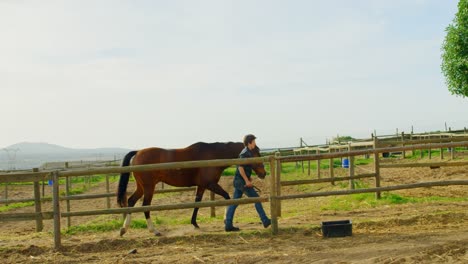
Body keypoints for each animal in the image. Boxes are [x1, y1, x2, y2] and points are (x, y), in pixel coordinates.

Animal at [115, 141, 266, 236]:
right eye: (255, 153)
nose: (263, 173)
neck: (214, 156)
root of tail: (138, 152)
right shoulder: (210, 184)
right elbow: (226, 197)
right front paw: (225, 221)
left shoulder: (202, 186)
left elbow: (197, 203)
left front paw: (194, 223)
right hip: (148, 188)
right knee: (145, 206)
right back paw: (154, 231)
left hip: (142, 187)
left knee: (131, 201)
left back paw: (124, 229)